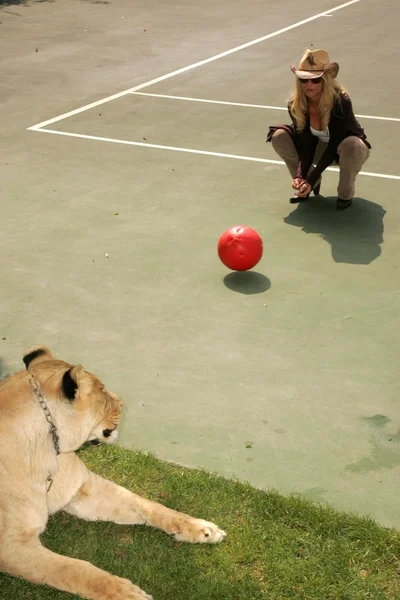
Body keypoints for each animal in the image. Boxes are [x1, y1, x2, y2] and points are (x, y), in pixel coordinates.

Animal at [0, 346, 225, 600]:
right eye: (103, 393)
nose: (122, 402)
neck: (49, 453)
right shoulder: (12, 547)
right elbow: (75, 569)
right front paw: (128, 593)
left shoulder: (84, 488)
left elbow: (148, 505)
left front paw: (202, 528)